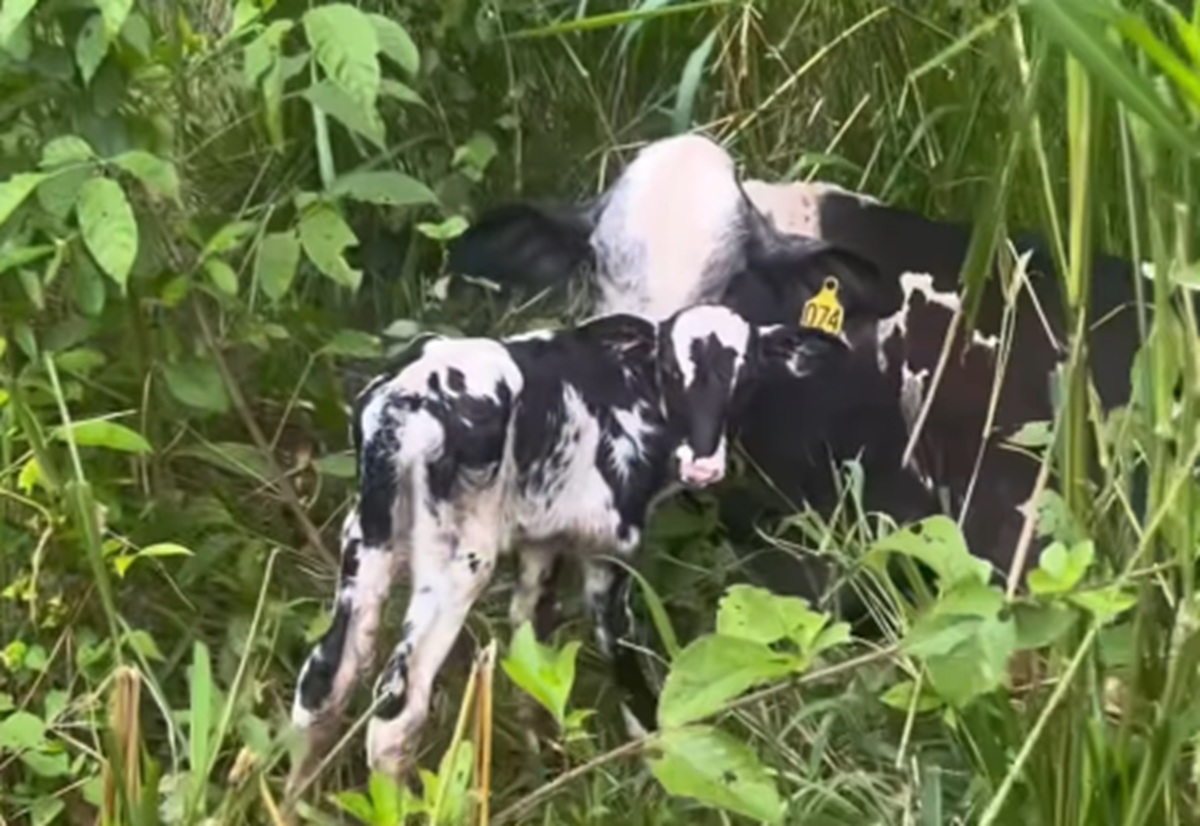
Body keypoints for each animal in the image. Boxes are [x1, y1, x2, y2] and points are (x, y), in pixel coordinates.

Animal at [288, 301, 847, 781]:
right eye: (669, 371)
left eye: (745, 377)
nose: (703, 467)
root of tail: (402, 404)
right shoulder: (611, 550)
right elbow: (631, 677)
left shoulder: (543, 542)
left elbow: (530, 653)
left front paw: (542, 762)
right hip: (458, 561)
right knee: (396, 716)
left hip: (365, 540)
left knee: (322, 683)